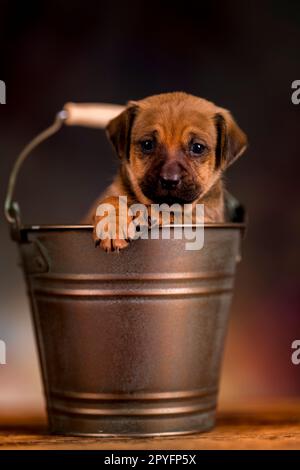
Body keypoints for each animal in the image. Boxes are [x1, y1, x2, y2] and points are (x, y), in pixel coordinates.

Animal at [88, 92, 247, 253]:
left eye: (198, 147)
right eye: (147, 144)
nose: (169, 180)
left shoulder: (206, 217)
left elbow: (178, 214)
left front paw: (153, 214)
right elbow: (110, 200)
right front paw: (111, 225)